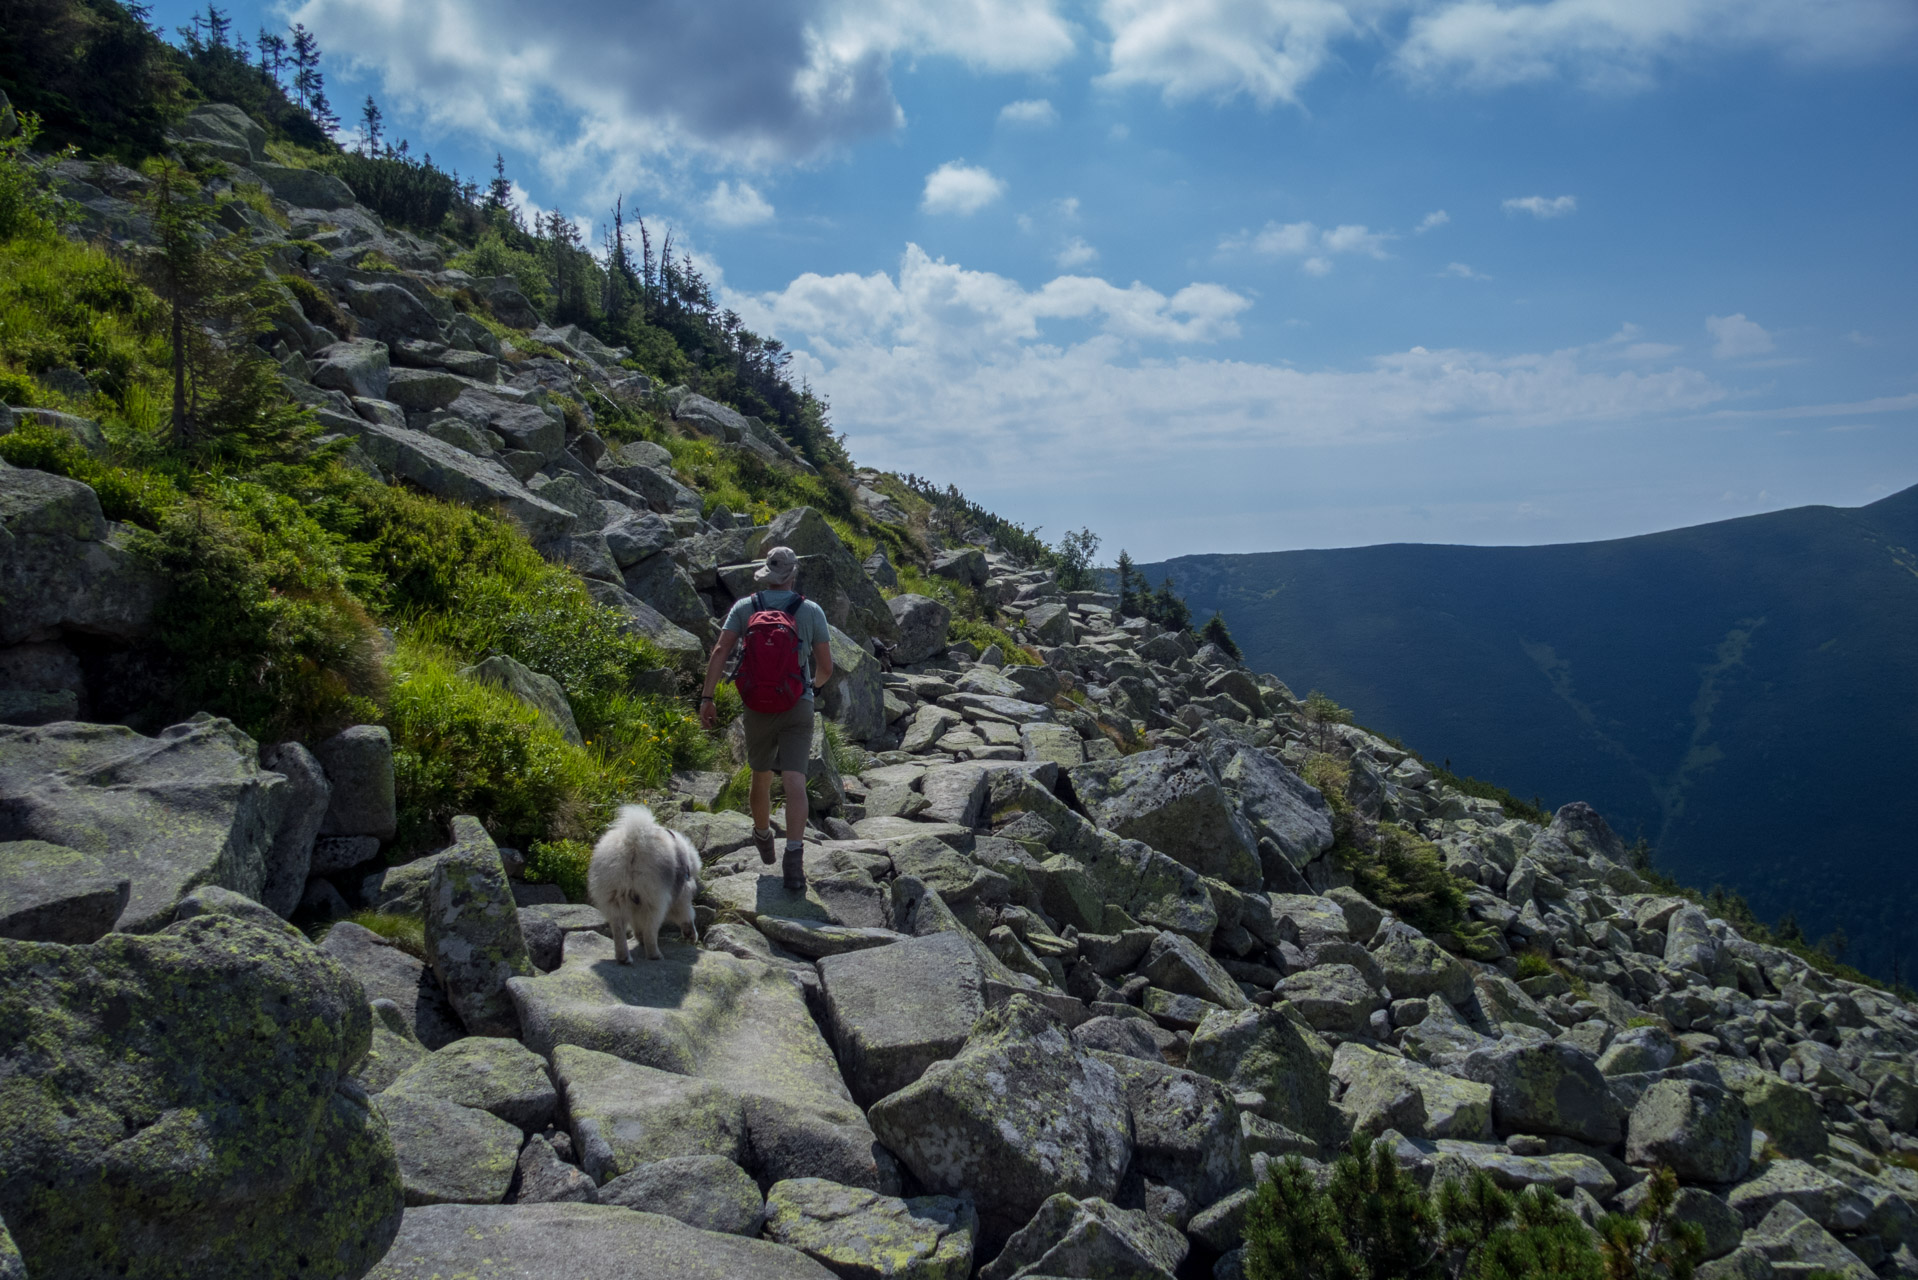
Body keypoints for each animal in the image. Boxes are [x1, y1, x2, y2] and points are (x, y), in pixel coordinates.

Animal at [590, 802, 705, 959]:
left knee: (618, 928)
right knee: (650, 928)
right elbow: (687, 915)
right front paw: (691, 935)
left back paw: (624, 957)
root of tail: (633, 842)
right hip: (653, 899)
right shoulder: (681, 896)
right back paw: (654, 954)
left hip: (614, 896)